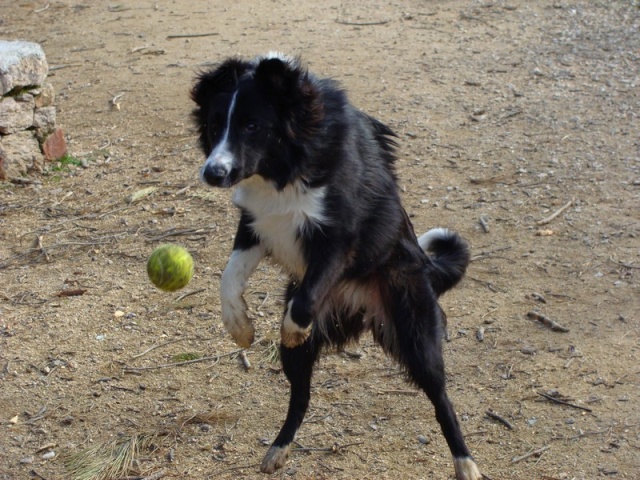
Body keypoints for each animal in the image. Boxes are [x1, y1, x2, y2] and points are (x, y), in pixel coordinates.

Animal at [192, 52, 482, 480]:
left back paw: (466, 463)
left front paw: (292, 326)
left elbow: (305, 298)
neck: (286, 167)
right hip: (301, 359)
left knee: (441, 397)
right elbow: (228, 278)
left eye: (252, 125)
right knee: (301, 396)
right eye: (215, 124)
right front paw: (239, 327)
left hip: (415, 331)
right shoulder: (256, 225)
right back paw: (278, 449)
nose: (213, 172)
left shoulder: (339, 238)